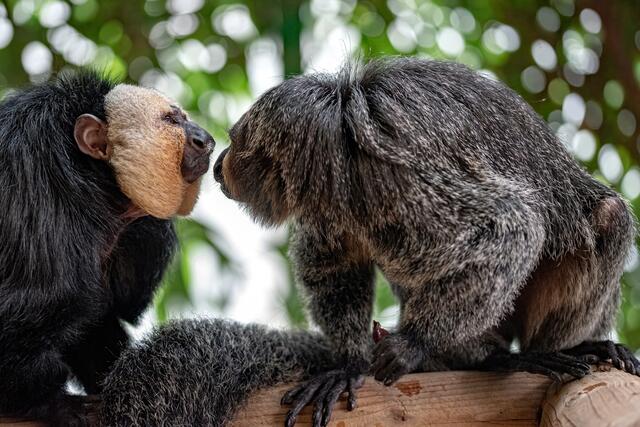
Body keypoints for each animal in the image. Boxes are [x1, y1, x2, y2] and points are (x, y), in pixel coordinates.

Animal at [0, 70, 214, 426]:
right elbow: (39, 305)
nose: (205, 140)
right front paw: (50, 403)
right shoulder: (39, 193)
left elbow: (100, 315)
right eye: (171, 120)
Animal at [213, 57, 640, 426]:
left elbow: (512, 225)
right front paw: (350, 363)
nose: (218, 164)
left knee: (610, 216)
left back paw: (539, 354)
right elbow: (335, 268)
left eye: (234, 142)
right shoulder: (327, 206)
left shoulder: (398, 176)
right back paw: (491, 357)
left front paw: (413, 343)